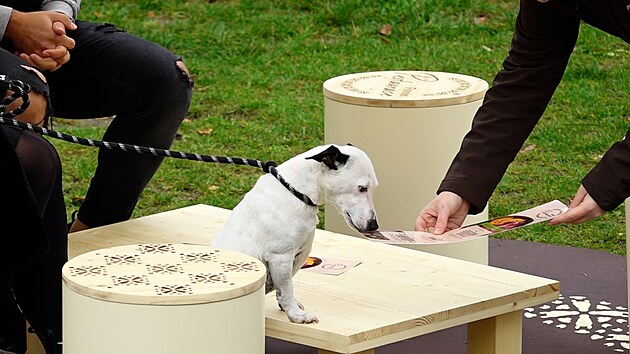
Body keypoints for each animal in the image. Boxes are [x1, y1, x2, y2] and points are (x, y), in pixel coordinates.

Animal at [212, 144, 380, 324]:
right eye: (362, 188)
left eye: (374, 187)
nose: (373, 225)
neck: (297, 192)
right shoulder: (281, 257)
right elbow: (287, 290)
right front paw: (296, 315)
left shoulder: (298, 255)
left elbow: (283, 289)